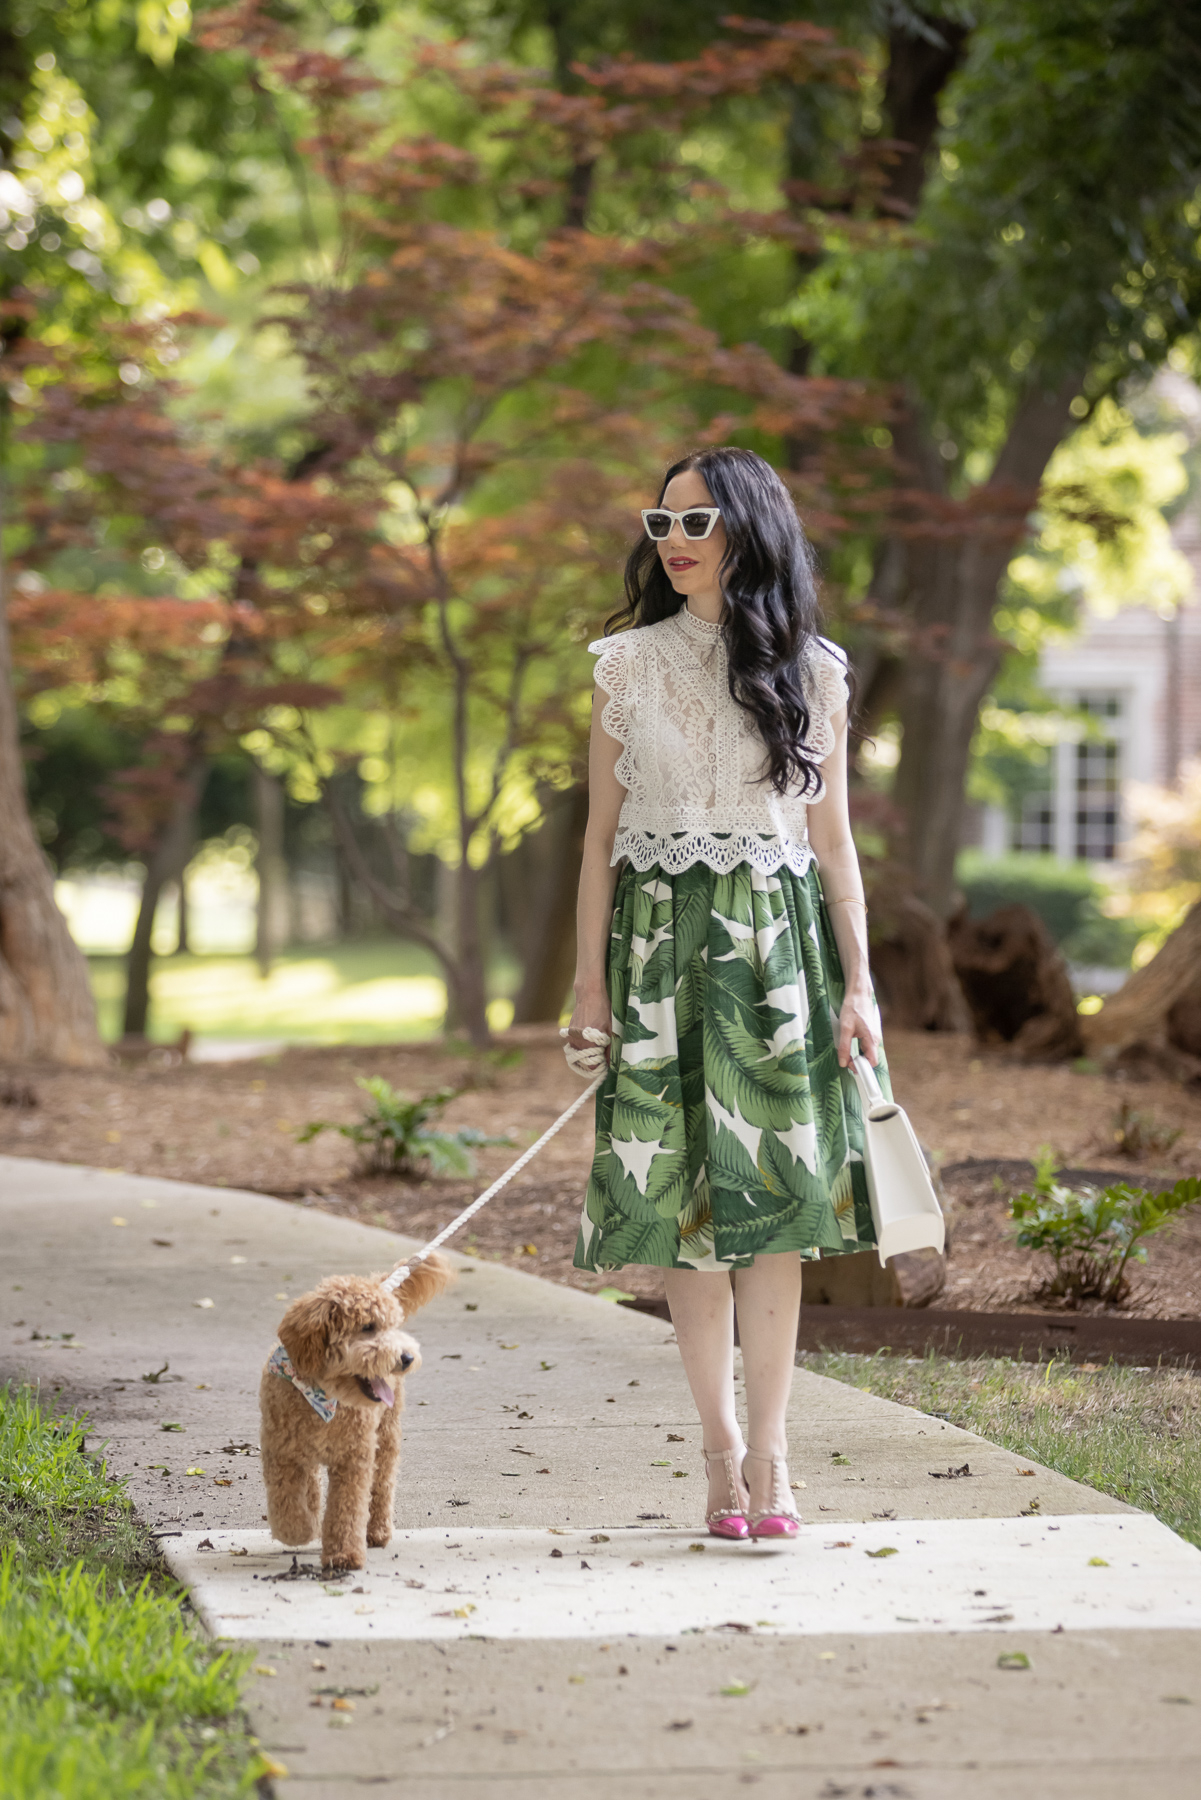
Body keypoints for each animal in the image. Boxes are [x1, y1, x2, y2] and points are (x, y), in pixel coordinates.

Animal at [261, 1260, 453, 1569]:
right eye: (367, 1327)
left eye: (392, 1326)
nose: (407, 1358)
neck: (324, 1395)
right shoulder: (281, 1454)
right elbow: (287, 1502)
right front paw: (299, 1529)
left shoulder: (353, 1459)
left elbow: (347, 1509)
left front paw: (344, 1555)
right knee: (311, 1484)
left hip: (385, 1437)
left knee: (383, 1486)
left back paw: (377, 1532)